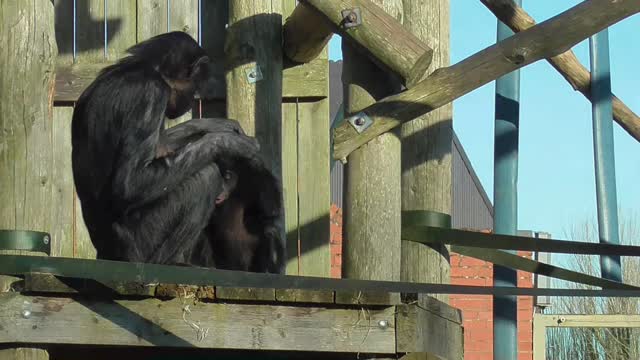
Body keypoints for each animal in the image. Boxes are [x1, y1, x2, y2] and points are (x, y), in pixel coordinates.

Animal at [70, 31, 284, 272]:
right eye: (196, 83)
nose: (193, 98)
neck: (149, 69)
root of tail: (106, 256)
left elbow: (162, 144)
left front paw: (218, 125)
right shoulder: (150, 94)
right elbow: (130, 182)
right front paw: (228, 141)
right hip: (141, 243)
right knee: (204, 177)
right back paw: (168, 263)